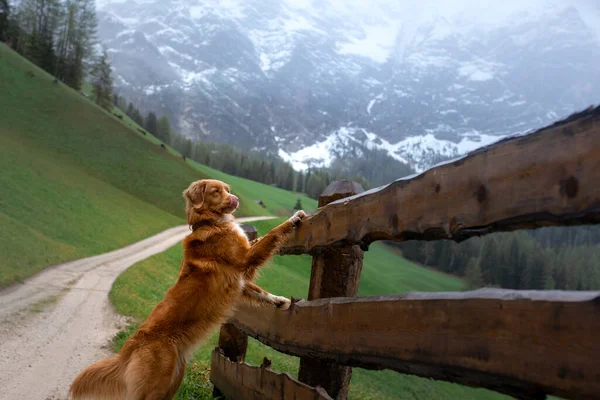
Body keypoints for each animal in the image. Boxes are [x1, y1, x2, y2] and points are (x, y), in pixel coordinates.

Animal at [68, 180, 308, 398]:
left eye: (227, 189)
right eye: (216, 191)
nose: (235, 198)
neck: (210, 222)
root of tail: (130, 346)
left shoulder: (239, 279)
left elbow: (259, 291)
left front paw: (280, 301)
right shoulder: (245, 259)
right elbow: (273, 234)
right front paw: (294, 218)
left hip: (171, 383)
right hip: (154, 387)